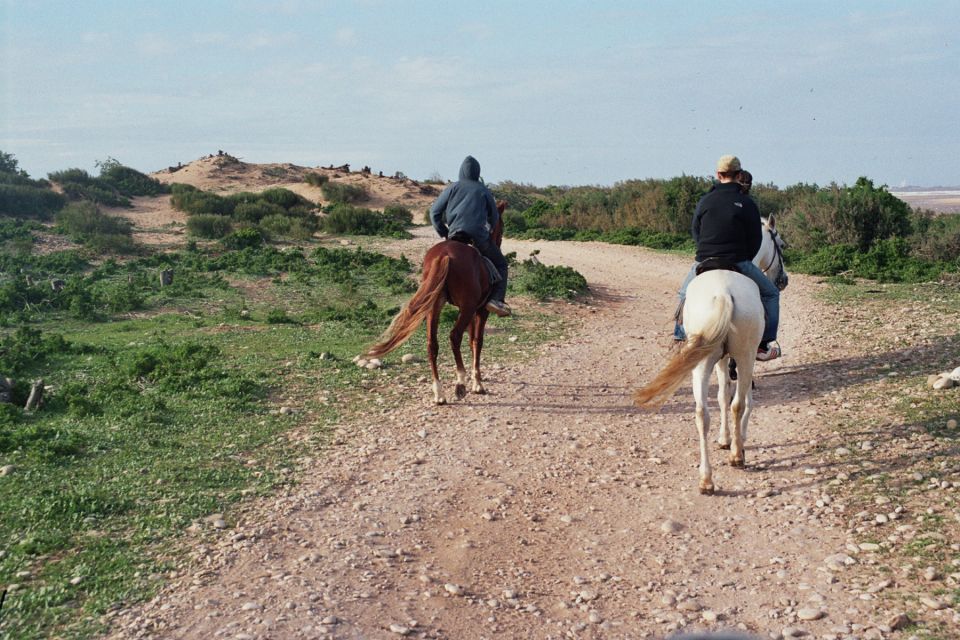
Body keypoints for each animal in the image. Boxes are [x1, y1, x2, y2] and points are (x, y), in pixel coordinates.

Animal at [364, 202, 506, 402]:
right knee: (454, 336)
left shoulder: (472, 312)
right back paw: (460, 383)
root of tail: (444, 255)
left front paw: (474, 380)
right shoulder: (480, 310)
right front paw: (477, 383)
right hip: (466, 307)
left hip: (434, 307)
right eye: (502, 224)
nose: (498, 242)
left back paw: (439, 392)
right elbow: (477, 341)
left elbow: (471, 341)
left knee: (432, 344)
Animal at [632, 218, 784, 492]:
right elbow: (743, 400)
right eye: (781, 244)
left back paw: (706, 479)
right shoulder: (741, 362)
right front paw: (738, 440)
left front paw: (725, 439)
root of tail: (723, 293)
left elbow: (722, 396)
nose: (783, 280)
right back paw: (736, 457)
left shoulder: (722, 360)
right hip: (745, 356)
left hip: (701, 363)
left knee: (702, 413)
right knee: (738, 403)